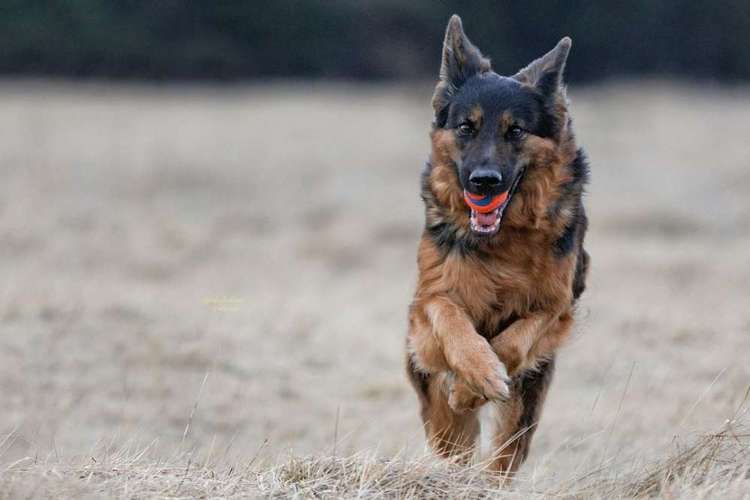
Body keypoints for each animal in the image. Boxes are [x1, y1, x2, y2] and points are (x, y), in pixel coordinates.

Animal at [408, 15, 592, 474]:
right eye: (466, 127)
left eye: (516, 130)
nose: (484, 182)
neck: (502, 243)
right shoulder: (427, 305)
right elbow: (452, 319)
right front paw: (474, 374)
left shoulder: (555, 308)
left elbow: (513, 342)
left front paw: (475, 385)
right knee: (452, 443)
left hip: (526, 405)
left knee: (503, 457)